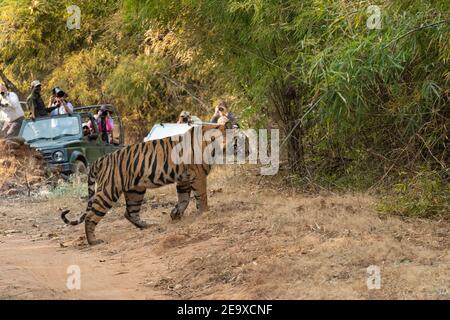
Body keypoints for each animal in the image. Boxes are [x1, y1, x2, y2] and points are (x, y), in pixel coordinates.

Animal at [62, 122, 239, 245]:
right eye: (239, 138)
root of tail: (101, 159)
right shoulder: (198, 176)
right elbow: (201, 197)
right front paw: (205, 213)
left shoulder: (184, 178)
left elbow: (184, 199)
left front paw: (175, 214)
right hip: (109, 192)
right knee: (91, 216)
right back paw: (93, 241)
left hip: (135, 190)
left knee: (130, 212)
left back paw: (147, 225)